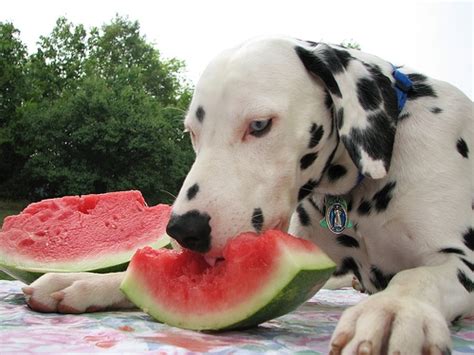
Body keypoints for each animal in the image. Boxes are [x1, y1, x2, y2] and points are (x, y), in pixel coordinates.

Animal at [23, 36, 474, 355]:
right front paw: (86, 282)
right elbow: (134, 275)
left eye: (259, 125)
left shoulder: (460, 261)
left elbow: (416, 277)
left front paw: (395, 311)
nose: (182, 229)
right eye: (191, 132)